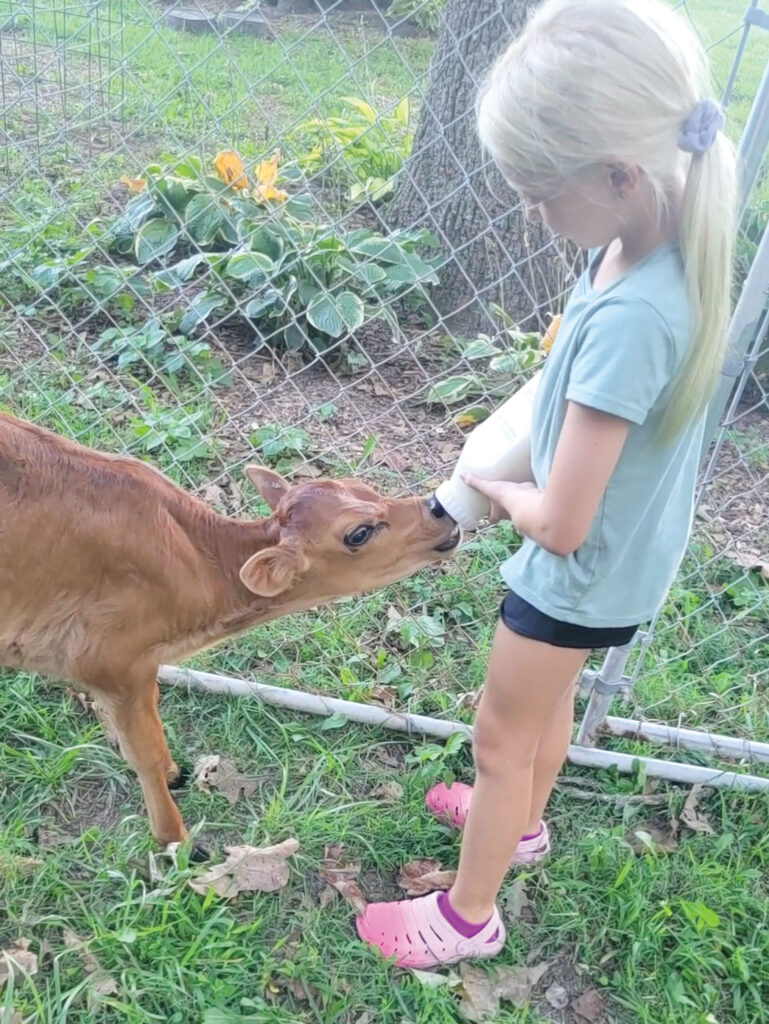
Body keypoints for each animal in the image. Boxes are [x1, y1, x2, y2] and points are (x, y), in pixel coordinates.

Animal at [0, 411, 456, 843]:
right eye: (358, 532)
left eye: (363, 487)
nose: (440, 509)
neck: (200, 569)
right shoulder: (112, 661)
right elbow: (144, 753)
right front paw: (176, 840)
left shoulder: (138, 667)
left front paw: (174, 773)